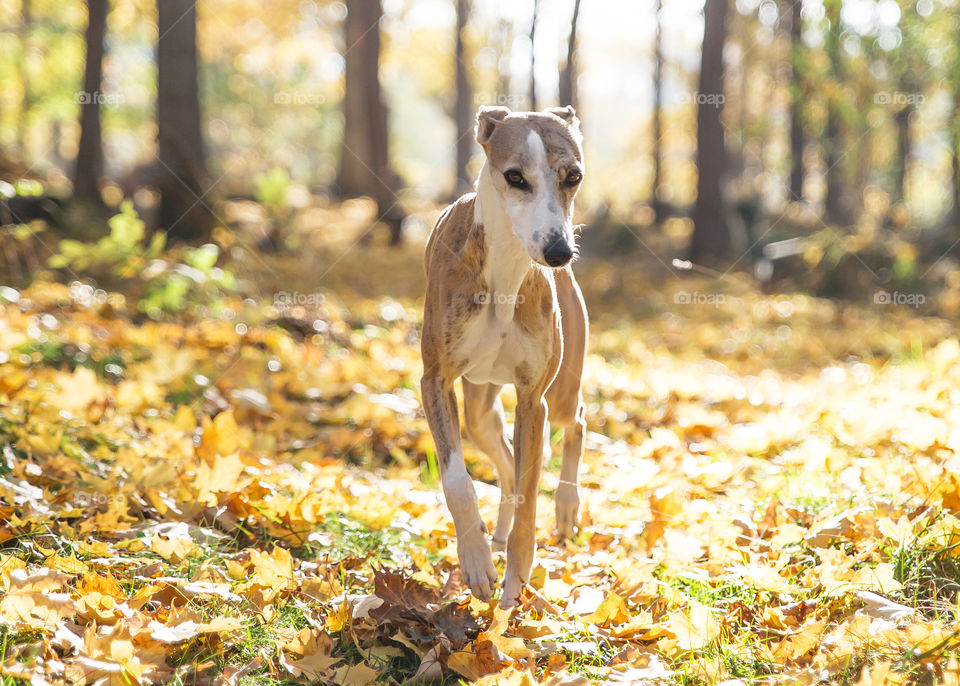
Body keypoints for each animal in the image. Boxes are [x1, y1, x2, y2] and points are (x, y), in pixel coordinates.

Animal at [424, 106, 588, 608]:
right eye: (515, 176)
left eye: (573, 176)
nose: (559, 252)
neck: (505, 272)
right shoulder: (434, 380)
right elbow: (458, 482)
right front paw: (477, 562)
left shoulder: (532, 397)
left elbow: (531, 495)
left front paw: (516, 575)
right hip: (479, 407)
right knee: (506, 467)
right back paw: (493, 537)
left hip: (560, 391)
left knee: (576, 421)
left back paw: (567, 507)